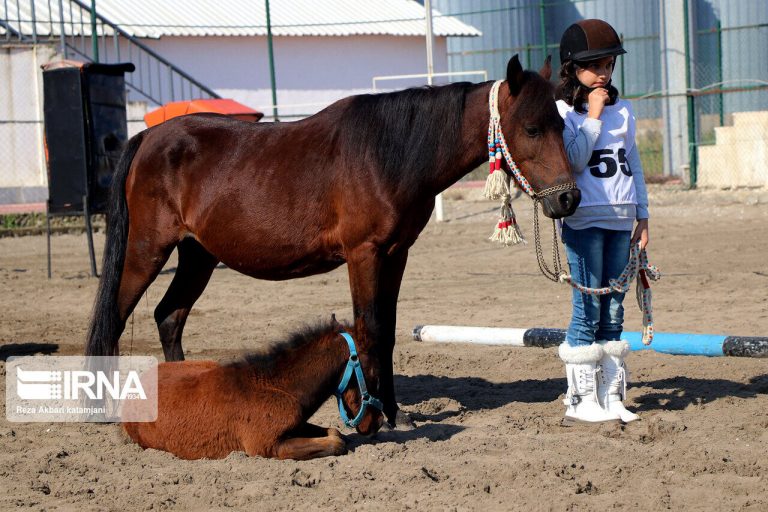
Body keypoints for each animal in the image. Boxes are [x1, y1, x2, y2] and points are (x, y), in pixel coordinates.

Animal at [85, 55, 576, 424]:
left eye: (560, 124)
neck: (387, 153)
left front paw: (395, 412)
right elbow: (369, 328)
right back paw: (99, 410)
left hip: (197, 256)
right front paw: (375, 415)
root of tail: (147, 136)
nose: (567, 198)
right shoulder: (364, 255)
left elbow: (388, 330)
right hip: (147, 252)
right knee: (114, 318)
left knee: (169, 317)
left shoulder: (395, 255)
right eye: (532, 128)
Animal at [124, 316, 384, 460]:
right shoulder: (267, 446)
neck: (276, 387)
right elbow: (336, 442)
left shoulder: (296, 424)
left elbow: (334, 433)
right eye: (374, 374)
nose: (379, 422)